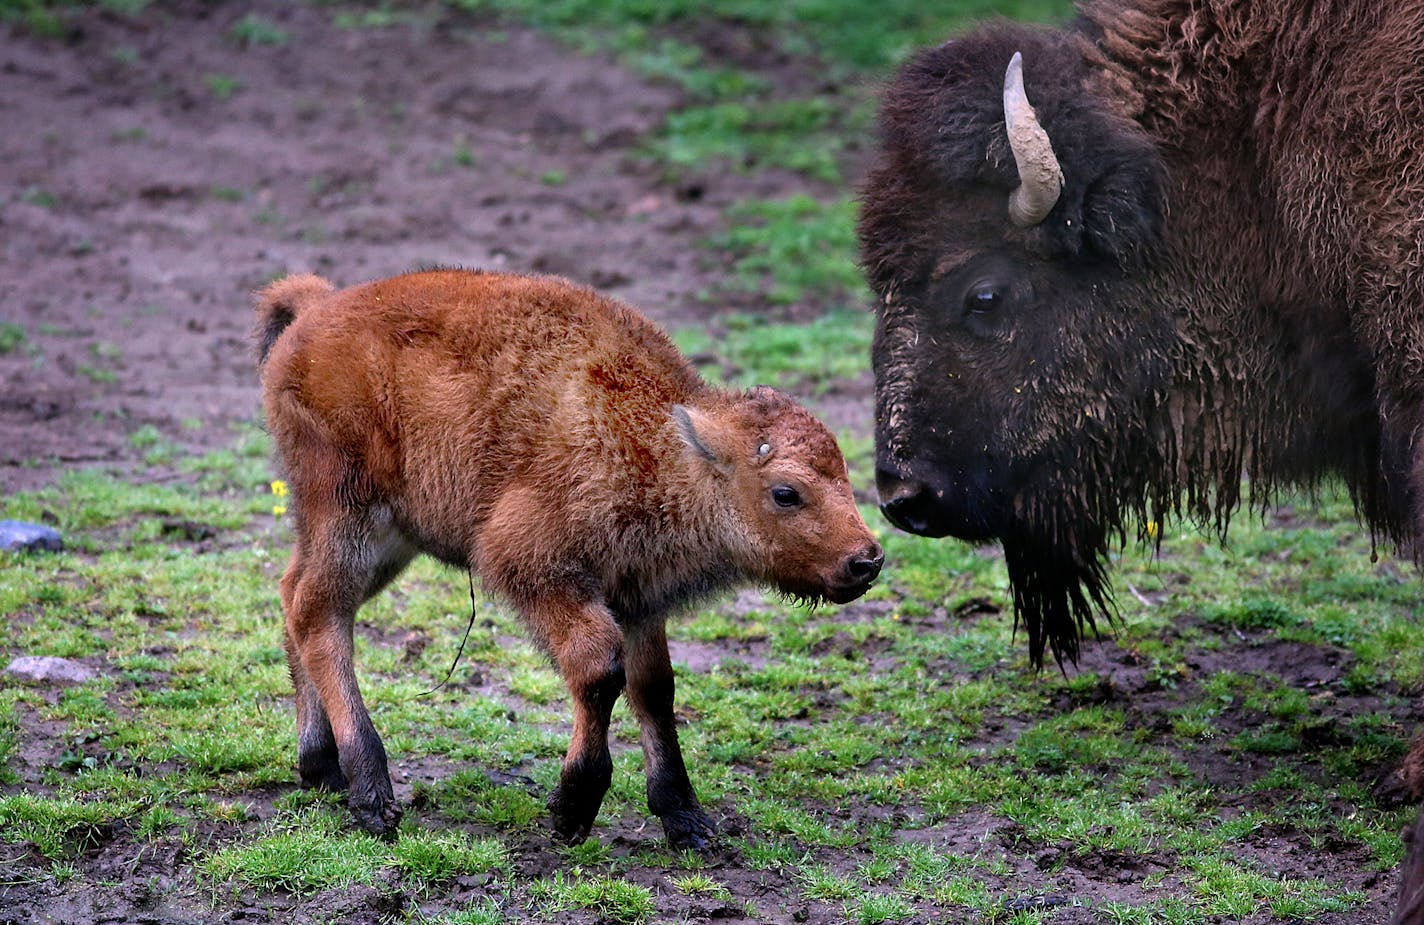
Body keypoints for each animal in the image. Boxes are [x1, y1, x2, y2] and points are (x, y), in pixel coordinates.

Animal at [256, 264, 877, 842]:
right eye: (785, 492)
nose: (866, 560)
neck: (660, 445)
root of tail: (316, 311)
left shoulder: (638, 598)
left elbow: (654, 688)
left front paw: (686, 819)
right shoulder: (535, 568)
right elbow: (600, 670)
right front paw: (572, 808)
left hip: (384, 540)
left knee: (295, 596)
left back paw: (321, 769)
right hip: (348, 515)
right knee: (318, 612)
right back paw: (371, 794)